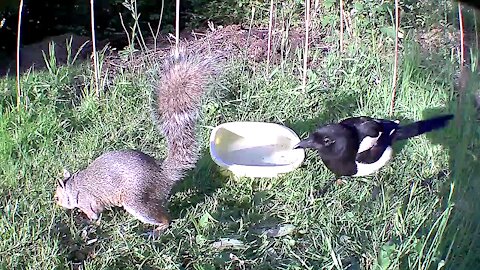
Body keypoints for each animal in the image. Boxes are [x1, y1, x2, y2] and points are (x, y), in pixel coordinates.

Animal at [54, 47, 218, 233]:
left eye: (57, 198)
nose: (57, 205)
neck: (74, 187)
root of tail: (162, 175)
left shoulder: (87, 202)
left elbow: (94, 216)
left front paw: (88, 222)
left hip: (136, 199)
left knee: (163, 217)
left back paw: (157, 230)